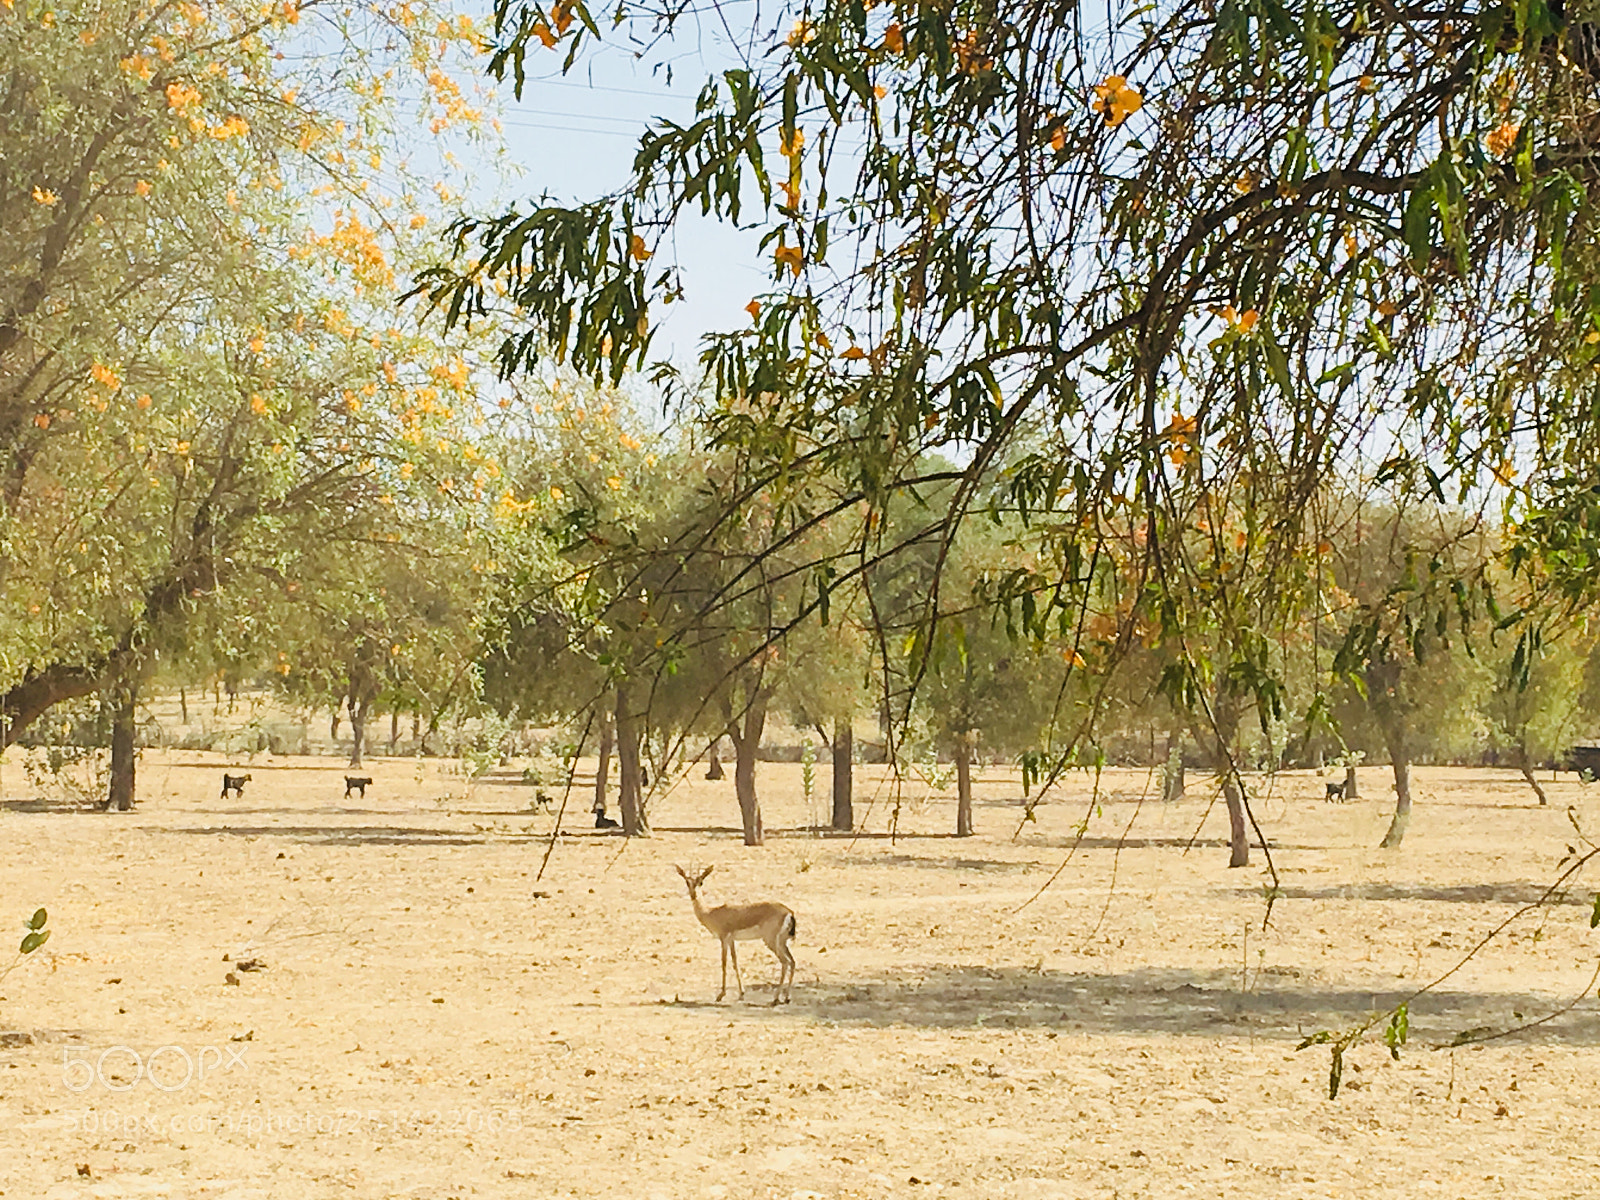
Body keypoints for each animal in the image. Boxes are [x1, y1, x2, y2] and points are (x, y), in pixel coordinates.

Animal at [675, 864, 796, 1005]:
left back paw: (776, 998)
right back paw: (787, 997)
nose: (693, 895)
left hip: (771, 941)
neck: (711, 913)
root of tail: (789, 912)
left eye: (701, 882)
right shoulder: (732, 940)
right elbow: (735, 962)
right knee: (792, 962)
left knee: (785, 962)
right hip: (782, 942)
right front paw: (741, 993)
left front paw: (721, 995)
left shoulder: (723, 939)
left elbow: (724, 963)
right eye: (687, 882)